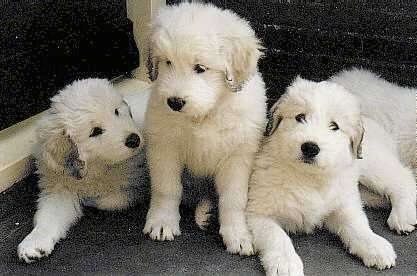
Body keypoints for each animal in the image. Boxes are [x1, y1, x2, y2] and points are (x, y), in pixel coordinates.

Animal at [17, 78, 148, 264]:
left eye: (116, 111)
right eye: (95, 131)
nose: (134, 139)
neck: (96, 167)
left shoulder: (136, 184)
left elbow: (110, 199)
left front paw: (90, 200)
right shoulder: (60, 189)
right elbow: (47, 217)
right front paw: (33, 243)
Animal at [145, 2, 264, 256]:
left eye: (200, 68)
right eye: (167, 62)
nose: (174, 102)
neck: (205, 114)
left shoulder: (237, 157)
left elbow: (233, 199)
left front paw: (238, 234)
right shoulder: (164, 146)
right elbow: (166, 188)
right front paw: (162, 222)